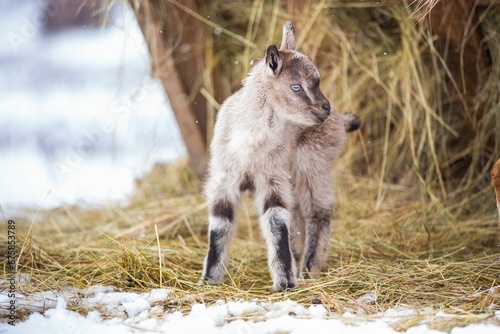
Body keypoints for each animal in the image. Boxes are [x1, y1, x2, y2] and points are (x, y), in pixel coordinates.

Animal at [200, 20, 356, 290]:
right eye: (296, 86)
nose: (324, 109)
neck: (249, 145)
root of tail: (340, 118)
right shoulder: (224, 179)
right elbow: (219, 226)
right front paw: (209, 280)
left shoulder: (271, 178)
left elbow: (276, 223)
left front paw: (285, 283)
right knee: (299, 213)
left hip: (313, 160)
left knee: (318, 211)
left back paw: (309, 268)